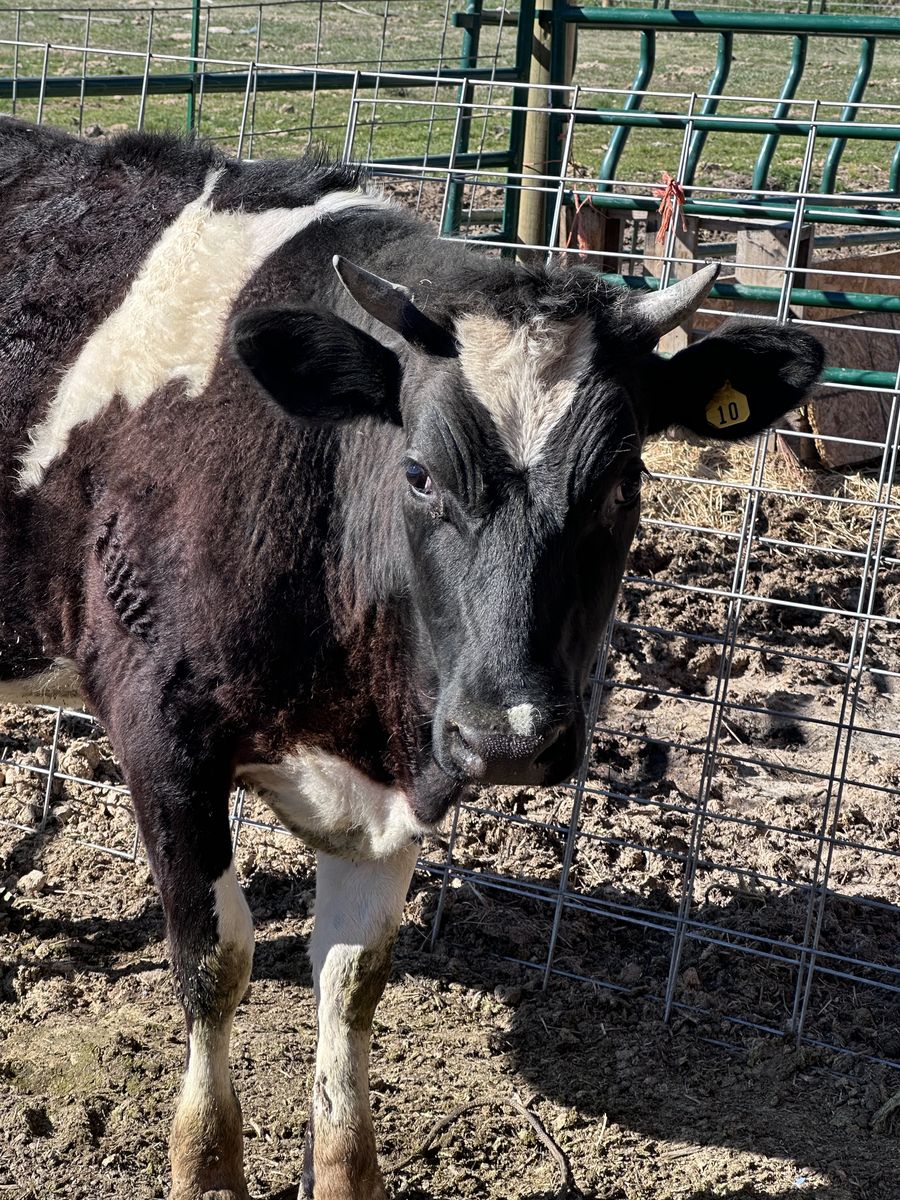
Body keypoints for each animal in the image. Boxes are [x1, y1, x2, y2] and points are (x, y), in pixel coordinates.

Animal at [0, 114, 823, 1200]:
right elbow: (212, 963)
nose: (512, 736)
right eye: (421, 472)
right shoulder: (161, 731)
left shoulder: (402, 769)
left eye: (623, 480)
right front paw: (208, 1167)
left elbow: (353, 980)